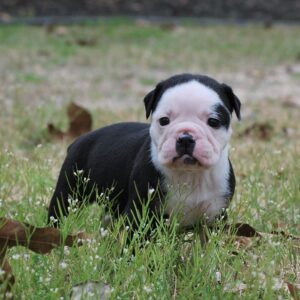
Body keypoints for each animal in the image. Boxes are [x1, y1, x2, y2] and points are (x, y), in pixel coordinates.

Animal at [47, 73, 241, 230]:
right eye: (164, 120)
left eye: (214, 122)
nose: (185, 138)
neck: (189, 174)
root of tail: (77, 141)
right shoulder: (141, 210)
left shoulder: (215, 213)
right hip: (70, 188)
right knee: (59, 210)